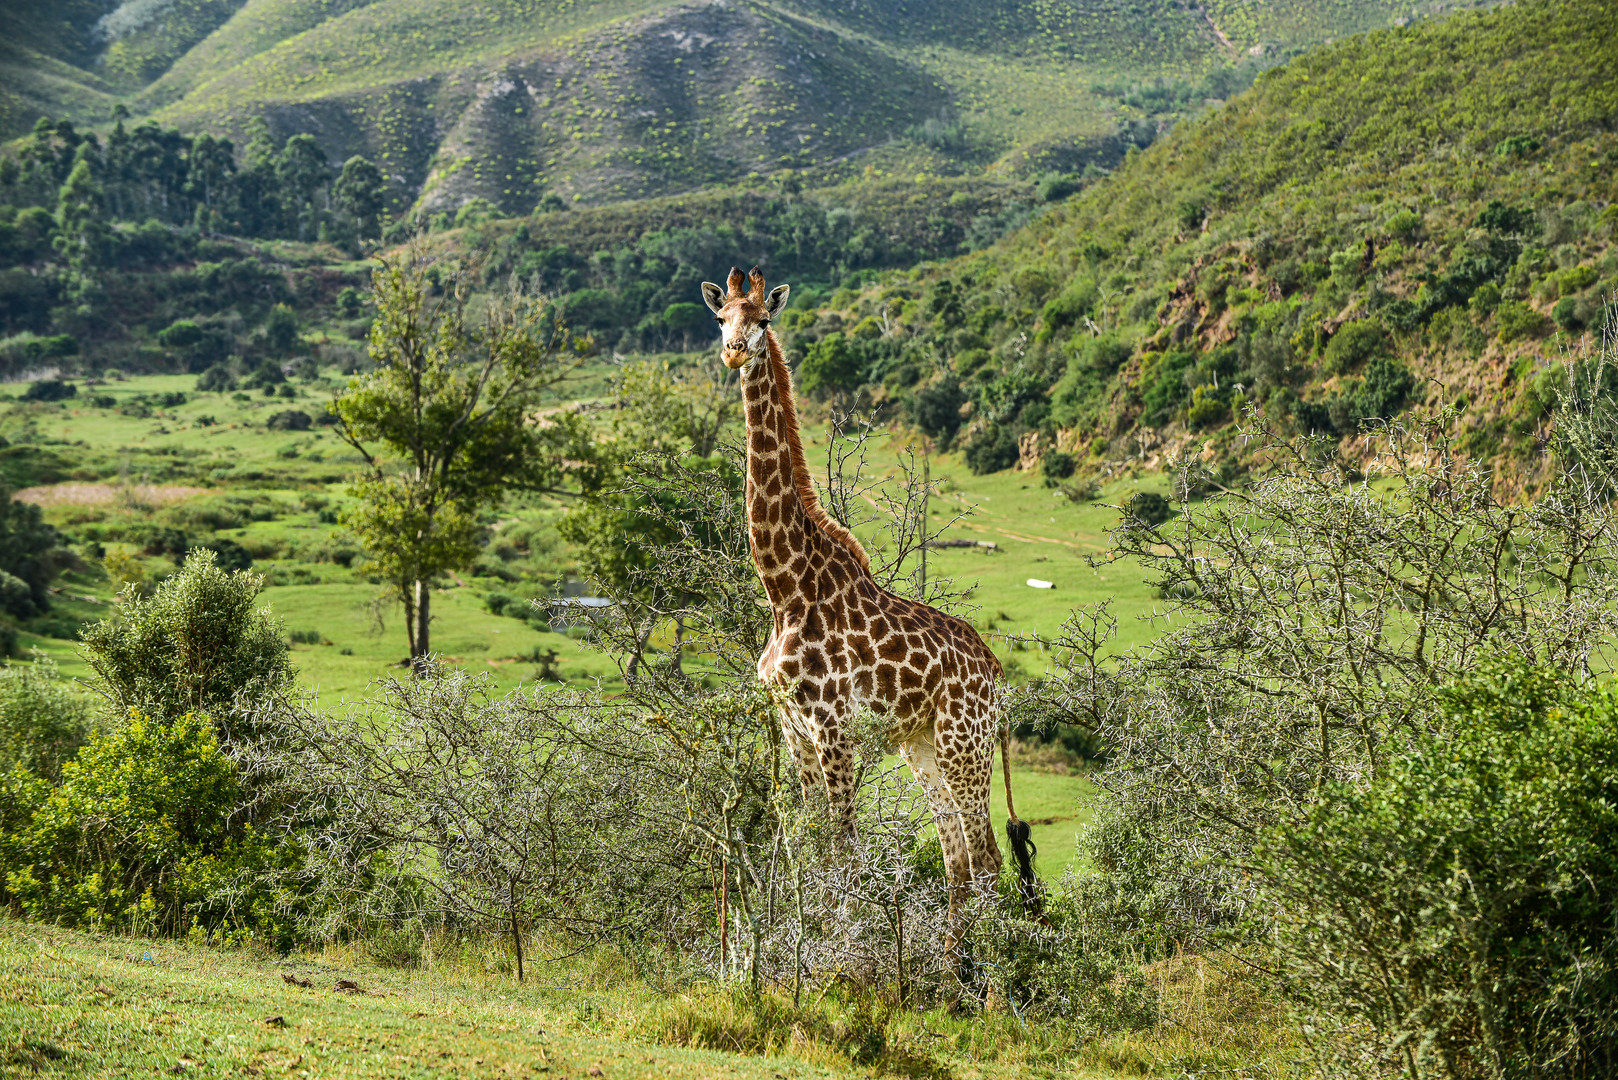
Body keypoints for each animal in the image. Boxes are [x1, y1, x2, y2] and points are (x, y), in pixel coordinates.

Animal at [698, 268, 1035, 965]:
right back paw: (950, 965)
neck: (785, 587)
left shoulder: (833, 729)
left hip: (965, 746)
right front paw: (802, 952)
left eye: (763, 321)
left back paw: (986, 974)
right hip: (922, 746)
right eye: (720, 319)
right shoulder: (795, 731)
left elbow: (843, 855)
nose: (735, 352)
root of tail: (997, 676)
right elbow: (807, 851)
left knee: (987, 859)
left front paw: (841, 961)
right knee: (958, 859)